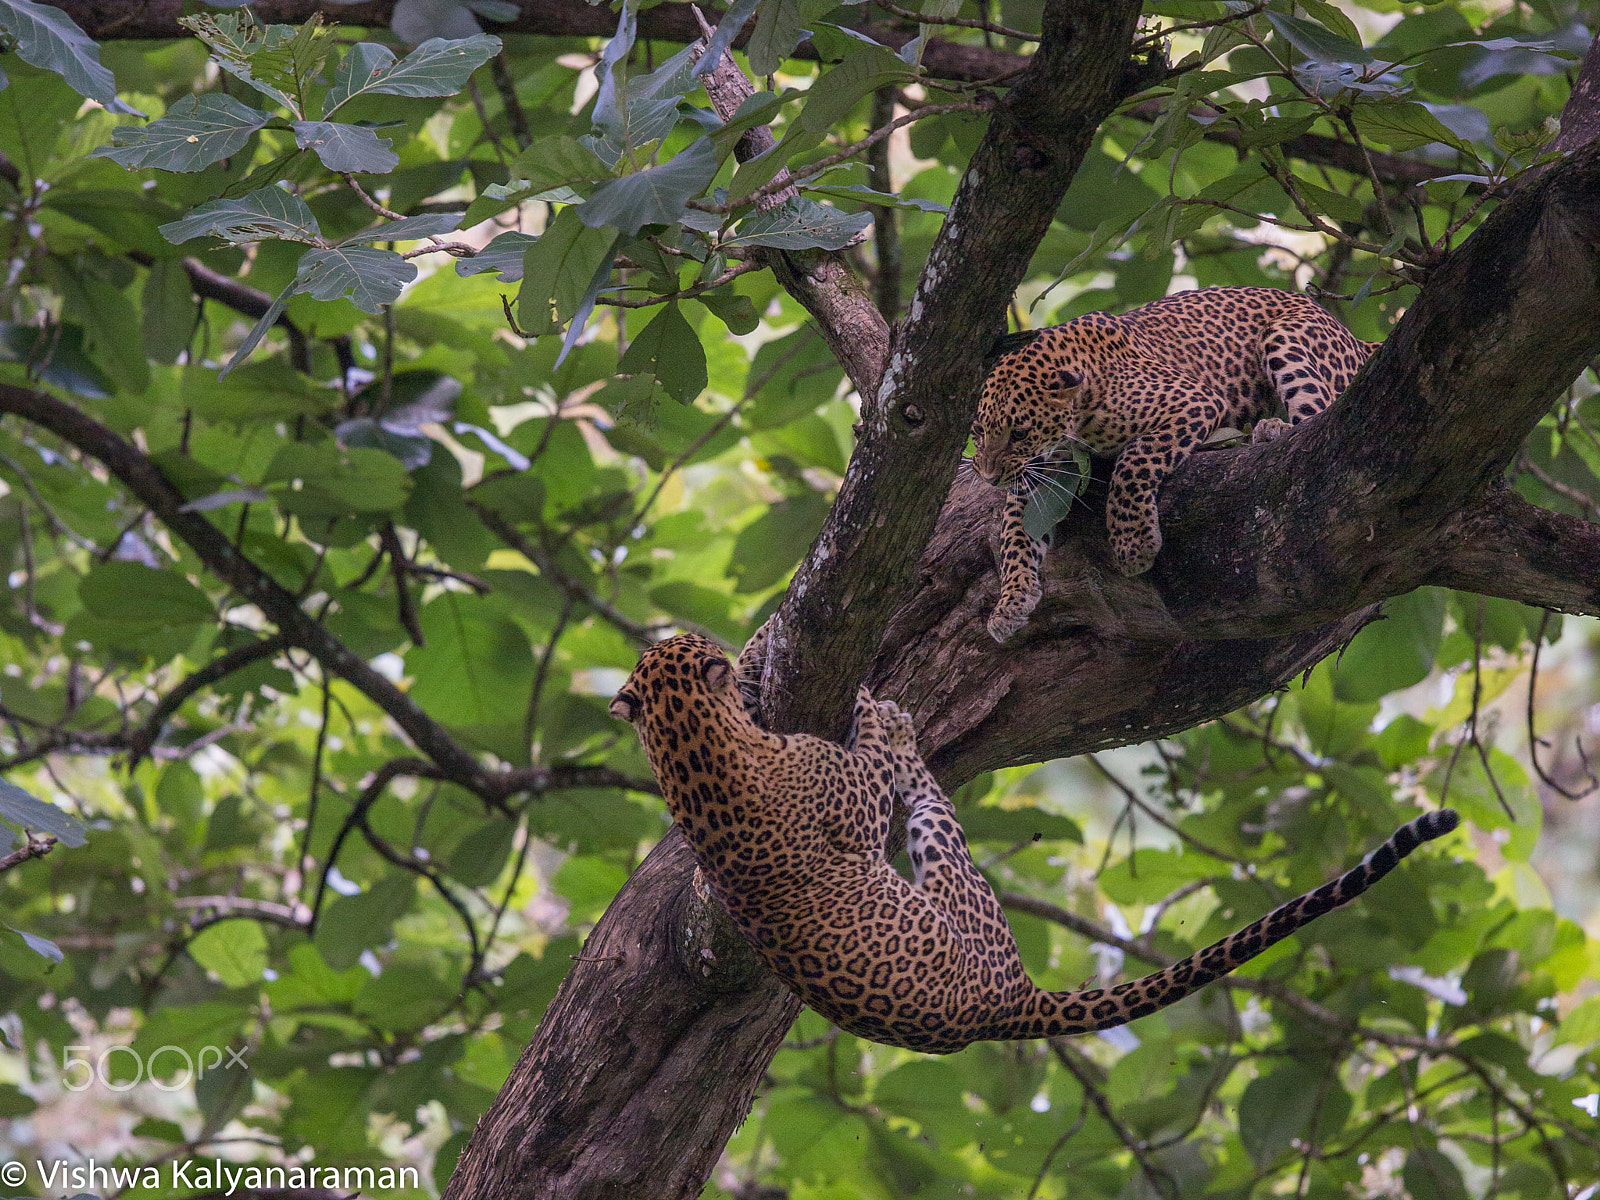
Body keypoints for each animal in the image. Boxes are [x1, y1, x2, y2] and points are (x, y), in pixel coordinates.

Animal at [604, 633, 1459, 1056]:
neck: (690, 755)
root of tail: (1007, 1003)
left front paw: (757, 646)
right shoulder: (846, 796)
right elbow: (872, 773)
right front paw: (867, 714)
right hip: (956, 882)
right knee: (925, 795)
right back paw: (898, 723)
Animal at [966, 286, 1382, 643]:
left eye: (1019, 432)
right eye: (978, 430)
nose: (988, 476)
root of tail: (1356, 338)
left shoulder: (1193, 400)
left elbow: (1134, 461)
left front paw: (1134, 543)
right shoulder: (1037, 473)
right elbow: (1015, 532)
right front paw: (1011, 601)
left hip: (1285, 338)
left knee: (1320, 413)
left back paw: (1273, 428)